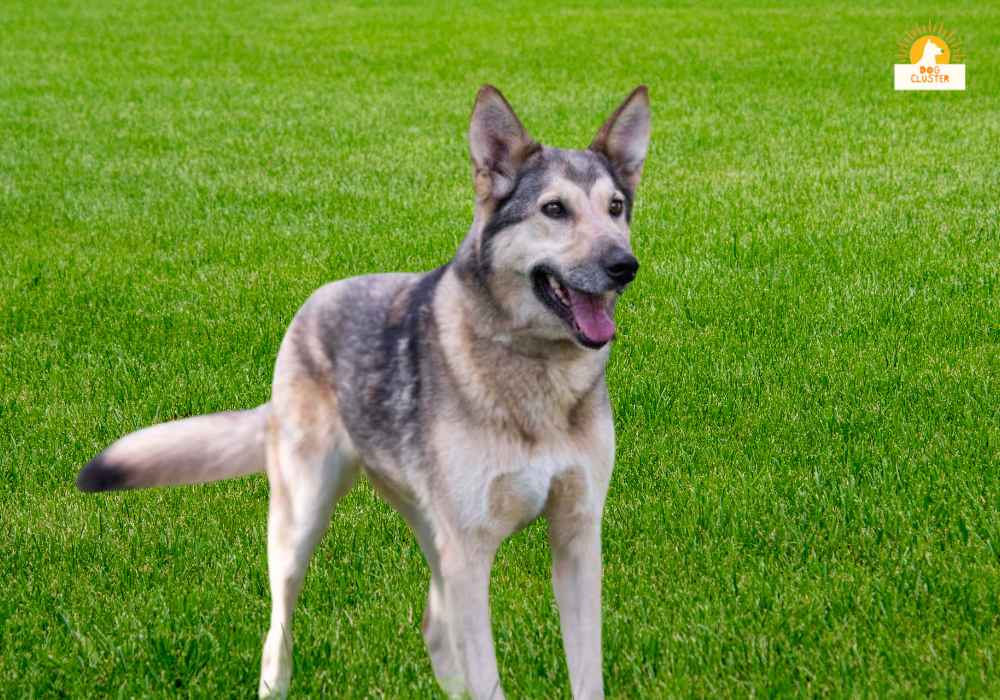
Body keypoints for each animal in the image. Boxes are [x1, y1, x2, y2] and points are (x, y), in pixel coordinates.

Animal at [80, 87, 656, 700]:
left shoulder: (576, 536)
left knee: (433, 626)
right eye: (554, 210)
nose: (624, 266)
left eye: (615, 208)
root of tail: (312, 304)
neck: (536, 371)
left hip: (427, 529)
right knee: (277, 635)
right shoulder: (471, 551)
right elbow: (486, 678)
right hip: (302, 521)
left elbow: (584, 675)